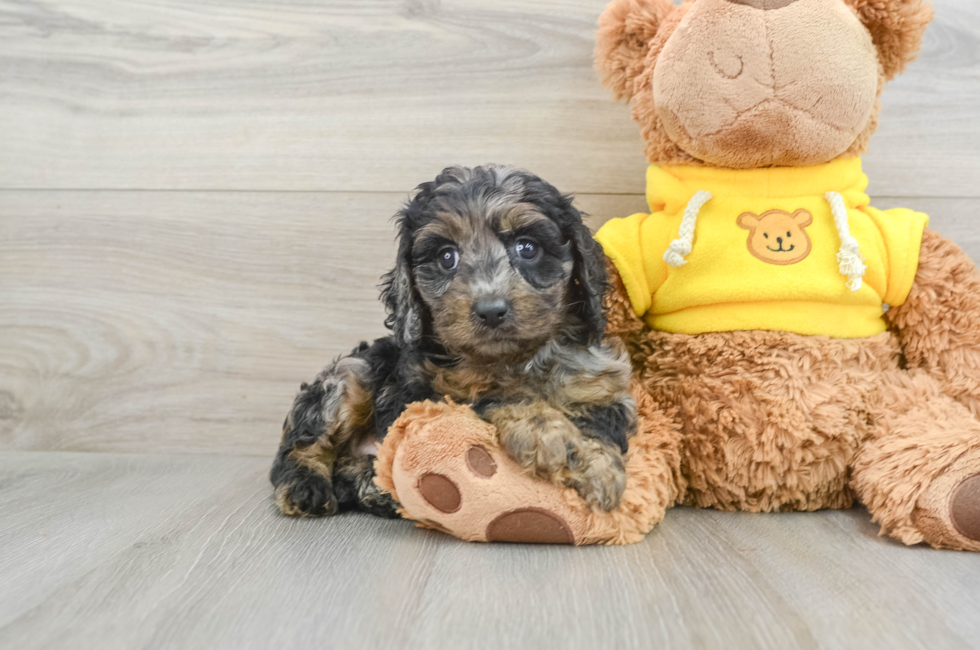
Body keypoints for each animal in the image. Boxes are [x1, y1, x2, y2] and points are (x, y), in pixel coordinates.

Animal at [270, 166, 636, 516]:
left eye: (528, 248)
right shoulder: (421, 396)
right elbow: (500, 398)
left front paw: (593, 466)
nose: (491, 311)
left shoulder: (602, 387)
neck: (517, 360)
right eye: (447, 257)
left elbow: (600, 425)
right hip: (350, 374)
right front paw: (555, 440)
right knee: (300, 444)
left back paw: (375, 490)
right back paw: (305, 486)